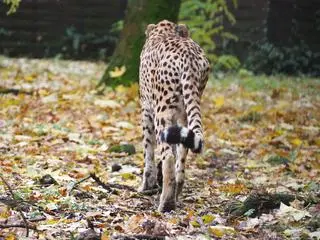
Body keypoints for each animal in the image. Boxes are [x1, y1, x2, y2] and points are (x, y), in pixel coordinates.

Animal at [139, 20, 210, 212]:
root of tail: (189, 56)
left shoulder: (146, 110)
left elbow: (148, 150)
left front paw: (146, 185)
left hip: (161, 113)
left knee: (169, 158)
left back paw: (166, 202)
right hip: (186, 111)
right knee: (182, 153)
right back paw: (176, 193)